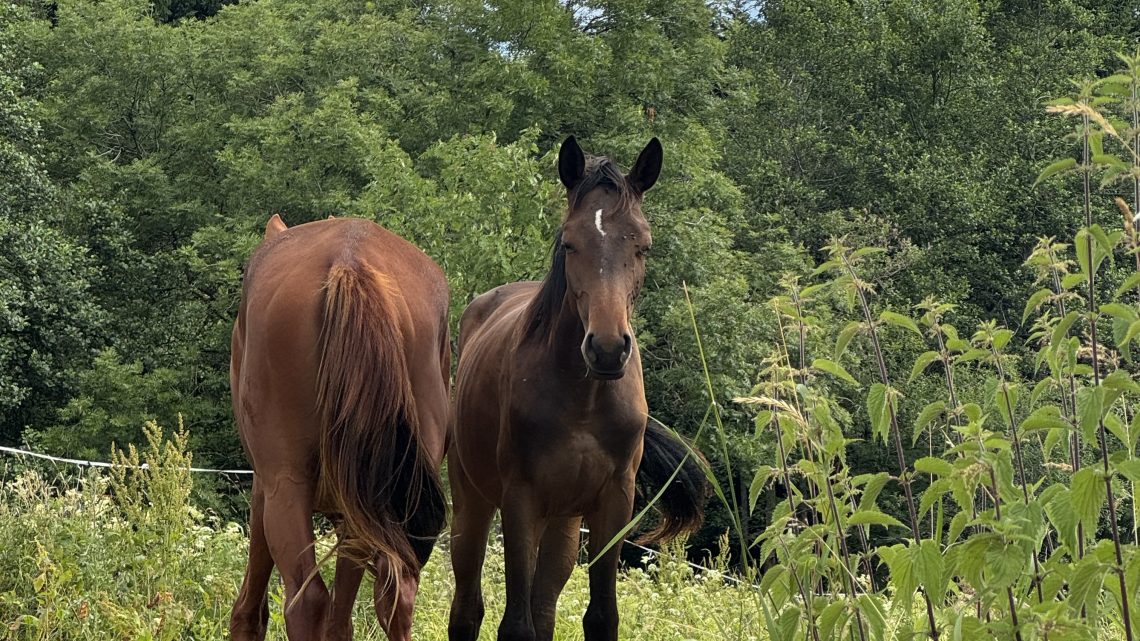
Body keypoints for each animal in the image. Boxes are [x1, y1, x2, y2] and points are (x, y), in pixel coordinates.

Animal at [229, 215, 450, 641]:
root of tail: (351, 261)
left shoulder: (265, 488)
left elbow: (250, 609)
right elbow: (341, 620)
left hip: (286, 486)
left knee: (307, 600)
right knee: (396, 596)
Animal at [447, 137, 708, 641]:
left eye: (643, 246)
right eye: (569, 242)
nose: (607, 349)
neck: (583, 402)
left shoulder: (614, 501)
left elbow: (601, 616)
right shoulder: (520, 499)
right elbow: (516, 625)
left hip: (564, 525)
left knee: (544, 607)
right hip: (473, 505)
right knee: (467, 610)